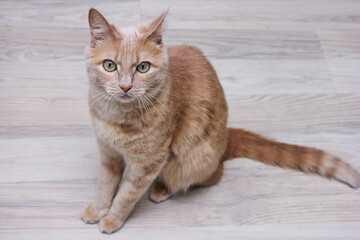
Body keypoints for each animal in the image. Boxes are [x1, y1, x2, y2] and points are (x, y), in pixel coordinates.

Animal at [79, 8, 360, 233]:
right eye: (110, 65)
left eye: (143, 67)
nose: (126, 87)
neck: (116, 114)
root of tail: (226, 138)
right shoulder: (108, 153)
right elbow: (107, 185)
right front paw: (99, 209)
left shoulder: (147, 165)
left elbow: (126, 195)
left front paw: (113, 219)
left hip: (190, 160)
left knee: (210, 175)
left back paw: (163, 189)